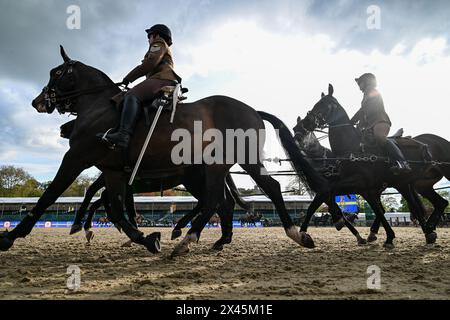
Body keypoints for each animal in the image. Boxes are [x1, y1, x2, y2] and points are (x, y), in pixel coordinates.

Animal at [0, 45, 326, 256]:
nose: (37, 101)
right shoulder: (113, 172)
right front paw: (144, 239)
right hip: (213, 168)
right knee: (219, 200)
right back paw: (203, 238)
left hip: (238, 161)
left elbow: (49, 196)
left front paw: (12, 236)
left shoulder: (76, 158)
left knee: (260, 190)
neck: (100, 106)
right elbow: (115, 208)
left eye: (56, 72)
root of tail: (251, 109)